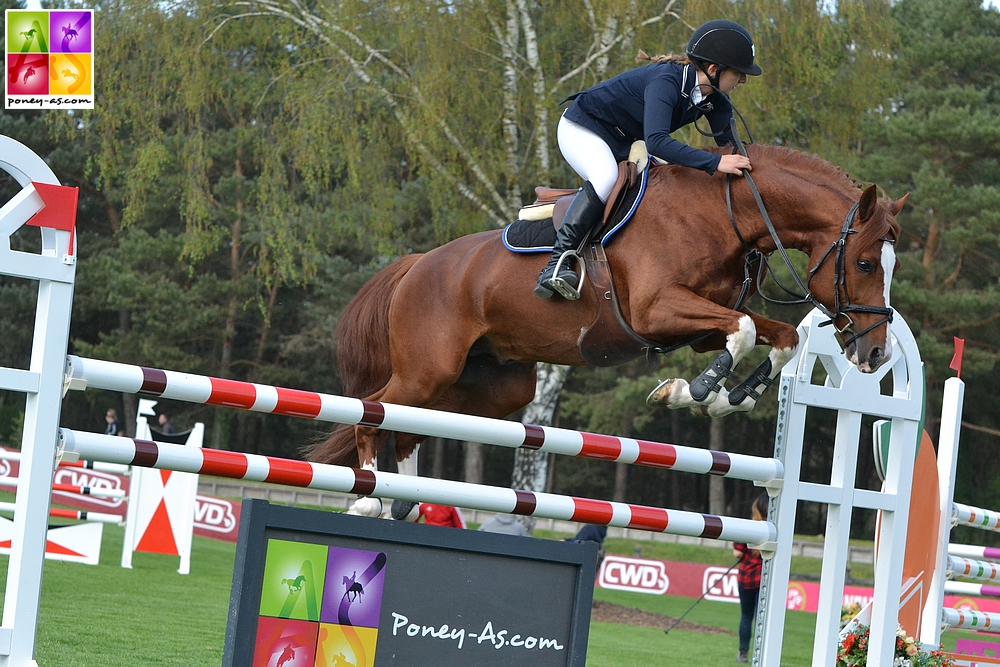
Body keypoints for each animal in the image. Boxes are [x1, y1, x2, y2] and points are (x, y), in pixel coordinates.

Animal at [310, 145, 908, 516]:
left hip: (499, 384)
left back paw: (405, 493)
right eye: (864, 264)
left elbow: (779, 337)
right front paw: (694, 390)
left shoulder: (697, 326)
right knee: (376, 409)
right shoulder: (657, 311)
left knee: (411, 421)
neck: (725, 213)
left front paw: (723, 398)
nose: (877, 353)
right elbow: (740, 331)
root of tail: (418, 264)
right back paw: (369, 494)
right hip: (428, 368)